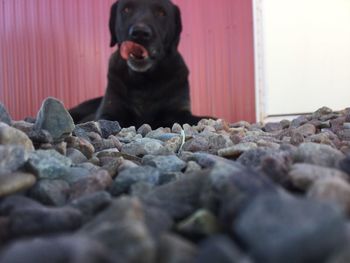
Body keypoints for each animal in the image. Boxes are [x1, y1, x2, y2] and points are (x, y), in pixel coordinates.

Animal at [68, 0, 211, 129]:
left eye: (161, 12)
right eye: (126, 9)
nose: (140, 33)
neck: (143, 81)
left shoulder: (178, 111)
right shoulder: (109, 111)